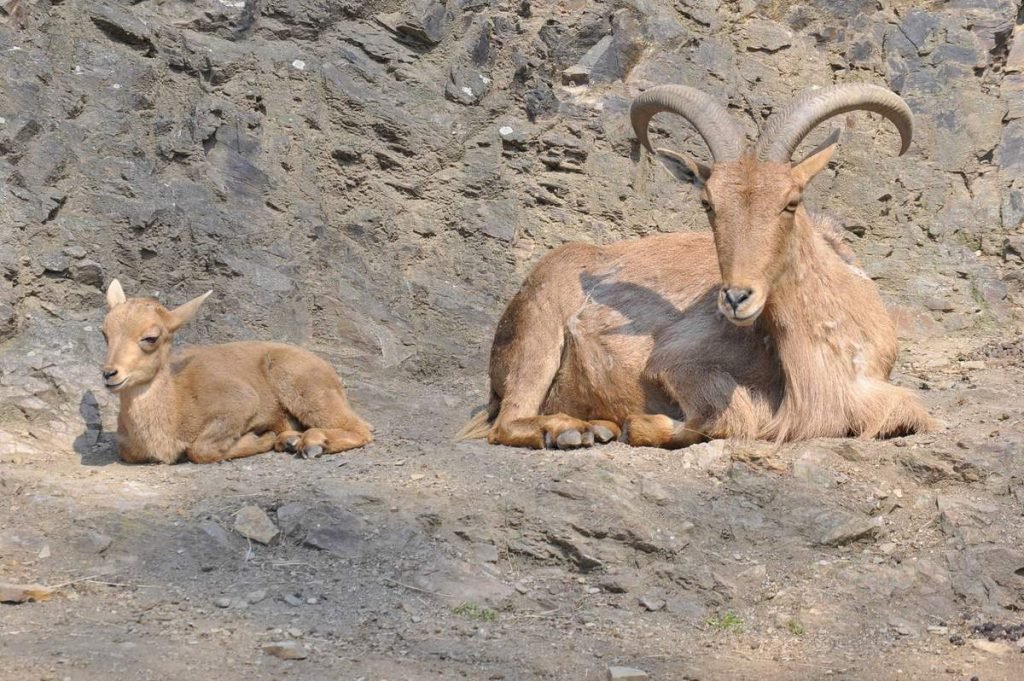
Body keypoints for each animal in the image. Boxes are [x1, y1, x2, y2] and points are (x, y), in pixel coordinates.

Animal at [97, 278, 372, 464]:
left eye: (150, 337)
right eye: (105, 333)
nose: (109, 374)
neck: (175, 407)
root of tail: (330, 373)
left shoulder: (240, 401)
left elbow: (200, 449)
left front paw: (260, 438)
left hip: (303, 386)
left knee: (362, 429)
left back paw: (312, 443)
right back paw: (291, 440)